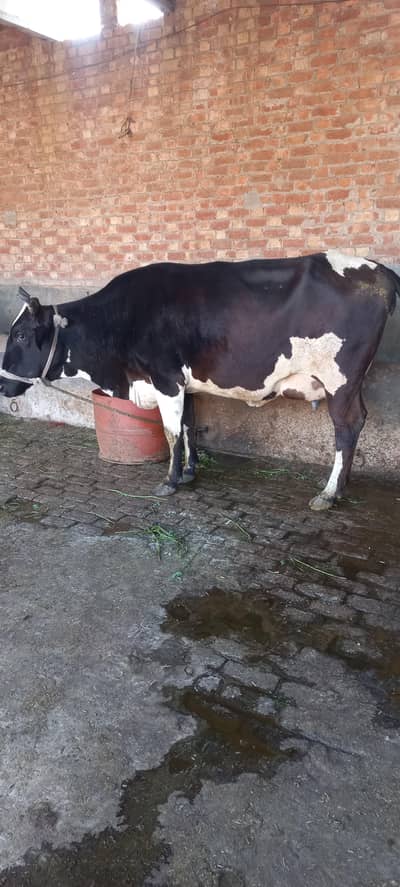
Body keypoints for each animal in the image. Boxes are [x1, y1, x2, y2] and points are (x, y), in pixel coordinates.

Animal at [0, 251, 399, 510]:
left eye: (19, 335)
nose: (3, 385)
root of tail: (378, 270)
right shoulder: (184, 382)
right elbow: (190, 426)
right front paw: (191, 473)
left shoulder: (165, 378)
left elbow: (171, 432)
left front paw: (169, 481)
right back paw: (340, 487)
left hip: (340, 380)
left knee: (346, 427)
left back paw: (329, 494)